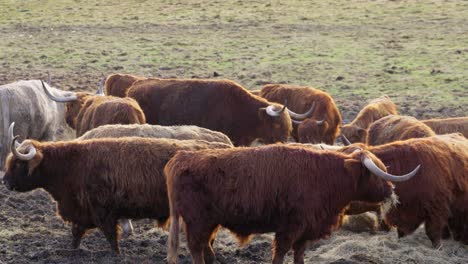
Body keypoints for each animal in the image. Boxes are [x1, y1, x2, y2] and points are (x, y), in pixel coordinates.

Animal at [1, 122, 232, 253]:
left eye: (18, 164)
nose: (5, 182)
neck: (72, 164)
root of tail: (223, 143)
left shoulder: (104, 212)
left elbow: (112, 238)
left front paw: (117, 255)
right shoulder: (82, 212)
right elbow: (76, 235)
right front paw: (73, 252)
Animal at [165, 144, 420, 264]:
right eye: (377, 175)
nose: (391, 190)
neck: (325, 177)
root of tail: (181, 158)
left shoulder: (307, 228)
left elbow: (299, 254)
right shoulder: (290, 226)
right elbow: (280, 253)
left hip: (209, 222)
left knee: (206, 248)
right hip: (198, 221)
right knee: (196, 248)